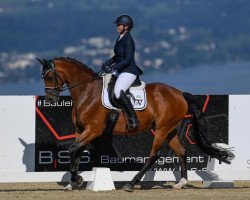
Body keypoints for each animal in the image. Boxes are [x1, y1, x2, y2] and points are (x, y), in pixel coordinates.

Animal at [36, 57, 234, 191]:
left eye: (49, 77)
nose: (50, 99)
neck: (87, 92)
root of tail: (179, 93)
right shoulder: (80, 130)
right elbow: (76, 152)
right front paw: (73, 182)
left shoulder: (93, 130)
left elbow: (72, 149)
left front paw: (76, 180)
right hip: (169, 130)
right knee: (182, 152)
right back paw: (181, 183)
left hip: (161, 129)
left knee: (154, 155)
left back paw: (132, 183)